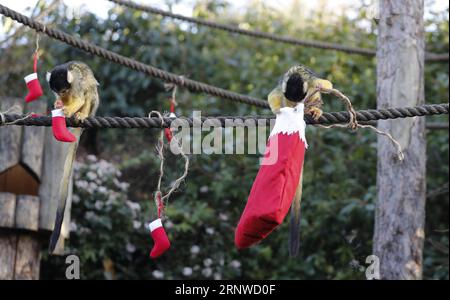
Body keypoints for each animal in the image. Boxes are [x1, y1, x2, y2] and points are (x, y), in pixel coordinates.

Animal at [45, 61, 98, 253]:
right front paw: (59, 104)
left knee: (90, 91)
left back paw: (81, 114)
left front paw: (67, 110)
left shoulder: (75, 85)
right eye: (58, 91)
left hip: (93, 107)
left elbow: (81, 97)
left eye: (63, 89)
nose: (61, 95)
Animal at [268, 64, 332, 256]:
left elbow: (325, 85)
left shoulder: (311, 83)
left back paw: (314, 109)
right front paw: (278, 111)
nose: (297, 107)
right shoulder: (284, 90)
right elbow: (274, 95)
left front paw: (321, 92)